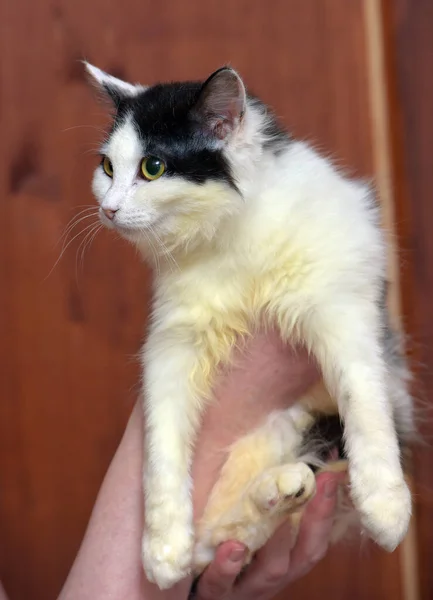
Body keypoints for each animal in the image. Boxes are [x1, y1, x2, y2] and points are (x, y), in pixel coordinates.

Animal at [85, 63, 416, 588]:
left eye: (152, 167)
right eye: (108, 168)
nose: (108, 209)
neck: (228, 236)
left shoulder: (342, 306)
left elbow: (365, 404)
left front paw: (386, 507)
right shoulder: (172, 345)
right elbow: (161, 447)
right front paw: (162, 548)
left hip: (313, 418)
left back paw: (283, 489)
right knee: (215, 544)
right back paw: (269, 497)